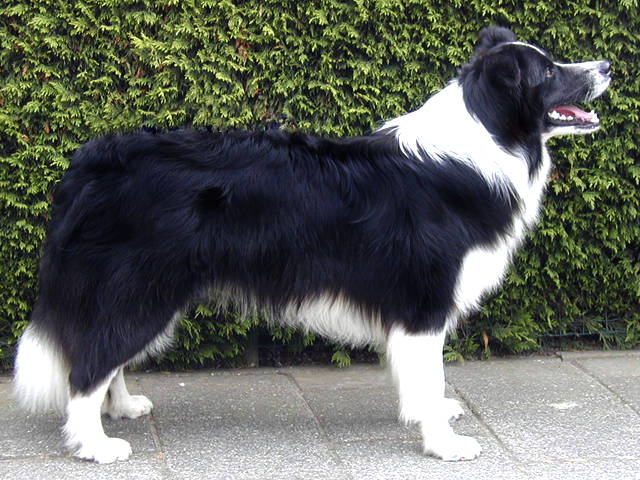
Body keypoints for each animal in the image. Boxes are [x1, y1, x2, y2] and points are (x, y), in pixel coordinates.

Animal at [14, 26, 610, 463]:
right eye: (548, 71)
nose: (606, 67)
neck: (487, 135)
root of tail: (91, 163)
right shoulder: (424, 301)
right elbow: (429, 372)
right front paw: (443, 443)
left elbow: (421, 380)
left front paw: (432, 413)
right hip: (142, 287)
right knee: (89, 365)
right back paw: (95, 445)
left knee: (107, 355)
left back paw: (121, 407)